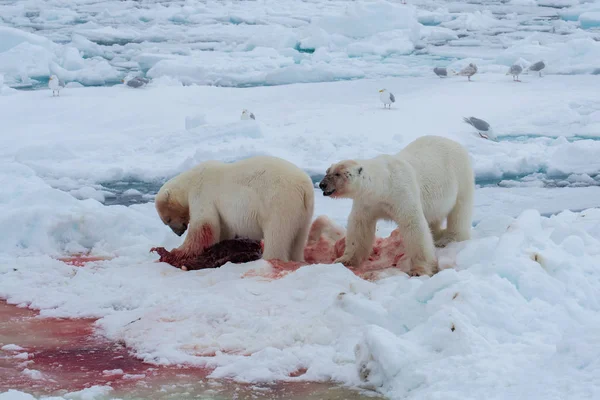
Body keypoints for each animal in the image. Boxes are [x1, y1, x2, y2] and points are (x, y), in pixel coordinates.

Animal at [154, 156, 314, 262]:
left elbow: (204, 226)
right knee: (298, 238)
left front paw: (173, 252)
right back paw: (297, 259)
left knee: (277, 237)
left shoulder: (202, 193)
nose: (179, 232)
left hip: (279, 205)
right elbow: (223, 228)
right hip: (304, 212)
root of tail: (304, 189)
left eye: (168, 219)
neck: (189, 181)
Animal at [318, 136, 474, 276]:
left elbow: (414, 225)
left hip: (461, 176)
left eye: (338, 174)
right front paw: (344, 260)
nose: (322, 184)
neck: (384, 185)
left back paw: (449, 238)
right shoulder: (367, 202)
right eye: (328, 171)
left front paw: (419, 270)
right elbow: (359, 225)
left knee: (460, 210)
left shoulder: (401, 194)